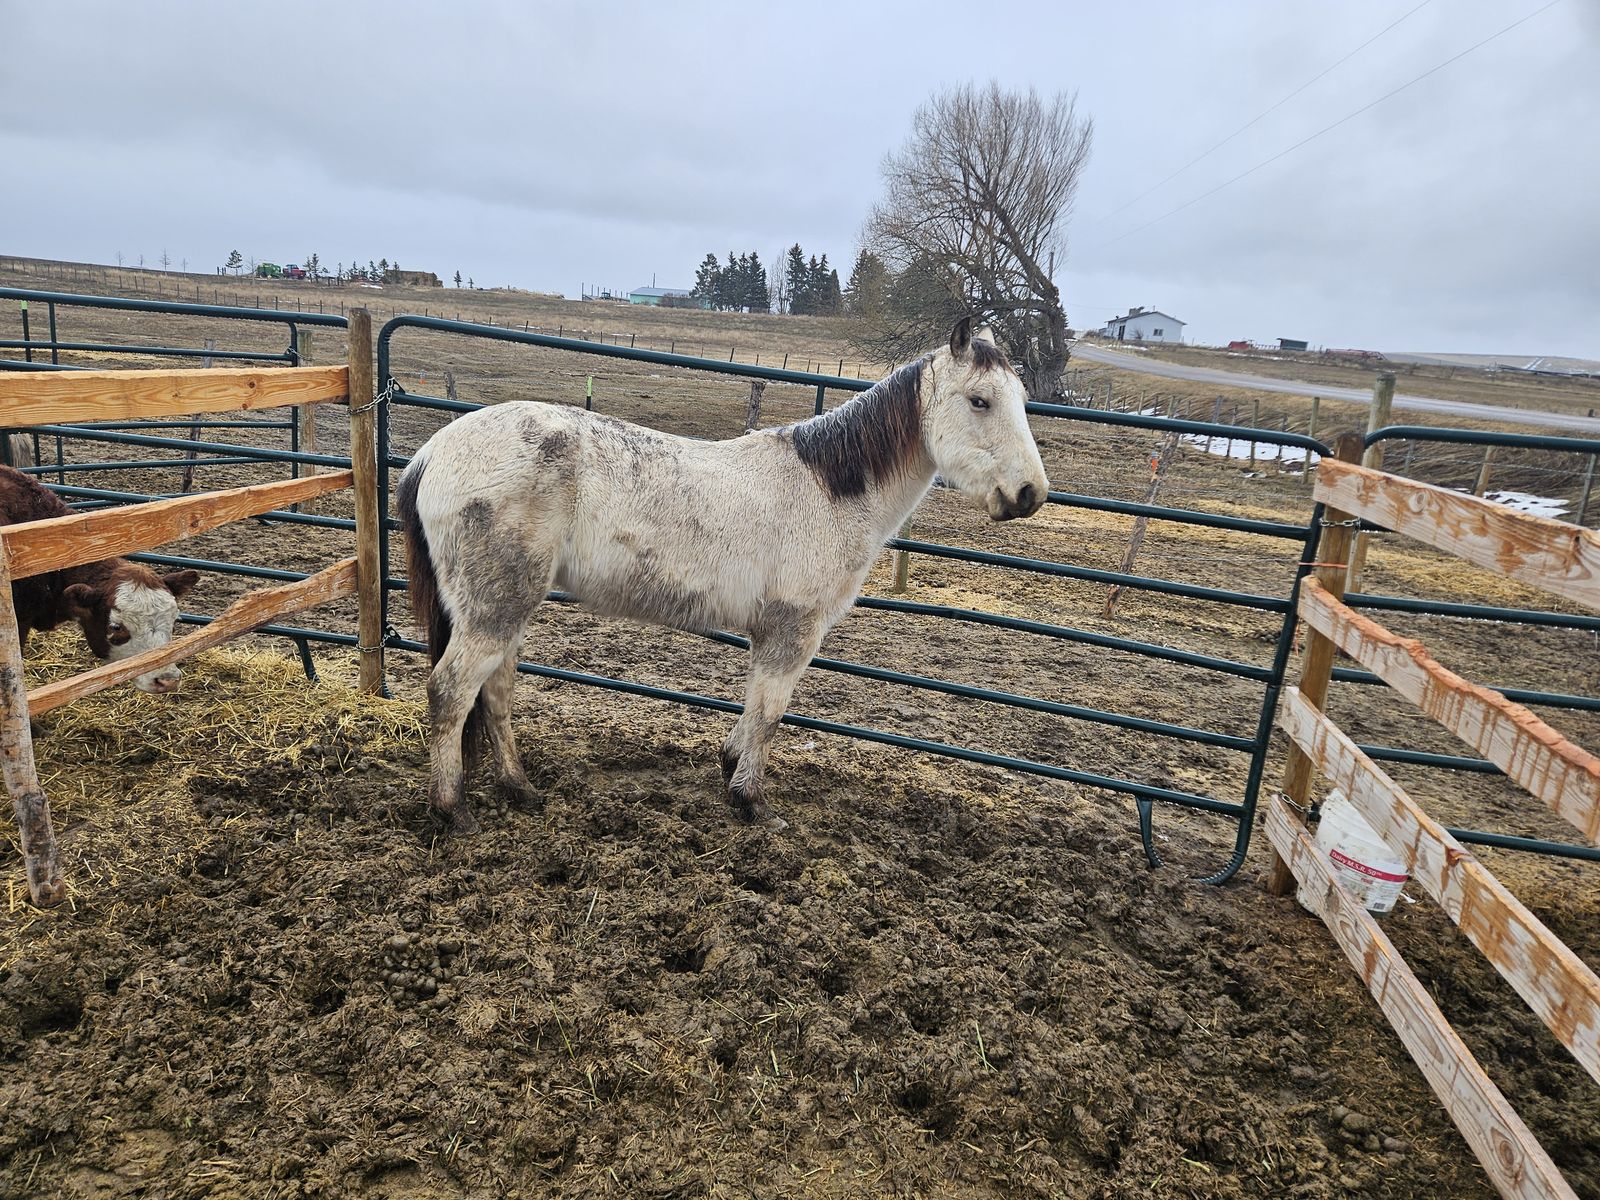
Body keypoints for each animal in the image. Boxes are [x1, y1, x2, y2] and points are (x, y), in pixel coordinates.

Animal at [398, 318, 1049, 833]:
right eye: (980, 401)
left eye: (1020, 398)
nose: (1030, 494)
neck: (829, 491)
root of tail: (431, 453)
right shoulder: (794, 632)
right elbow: (772, 710)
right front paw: (752, 803)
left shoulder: (770, 635)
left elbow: (753, 705)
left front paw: (732, 768)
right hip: (494, 609)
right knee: (450, 690)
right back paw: (454, 811)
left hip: (504, 608)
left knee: (496, 691)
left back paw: (519, 790)